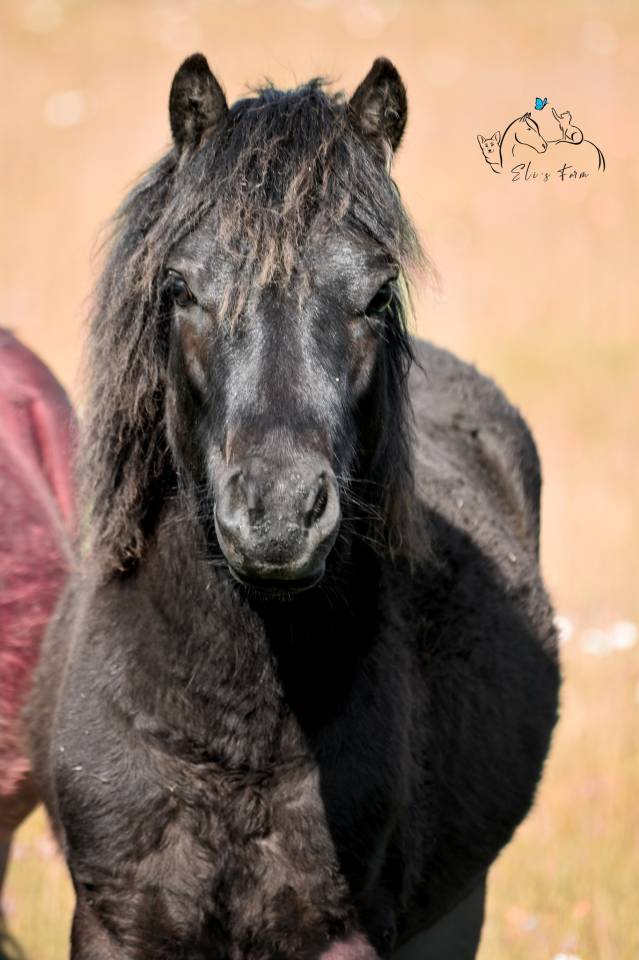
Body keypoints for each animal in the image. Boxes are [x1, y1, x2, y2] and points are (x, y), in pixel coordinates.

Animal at [26, 55, 560, 960]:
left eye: (377, 295)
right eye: (181, 286)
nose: (277, 515)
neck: (231, 729)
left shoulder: (338, 933)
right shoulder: (117, 923)